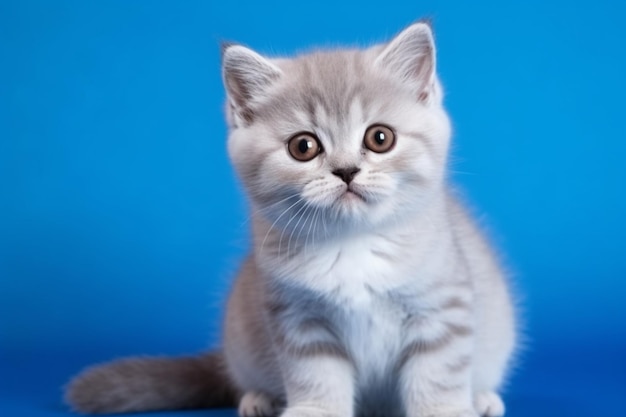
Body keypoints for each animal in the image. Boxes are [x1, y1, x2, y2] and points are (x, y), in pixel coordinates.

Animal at [67, 22, 516, 416]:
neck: (353, 244)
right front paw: (315, 410)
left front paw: (447, 410)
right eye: (304, 147)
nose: (346, 170)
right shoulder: (298, 321)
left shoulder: (443, 308)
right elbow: (316, 375)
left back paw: (482, 398)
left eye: (380, 138)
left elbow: (438, 373)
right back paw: (258, 399)